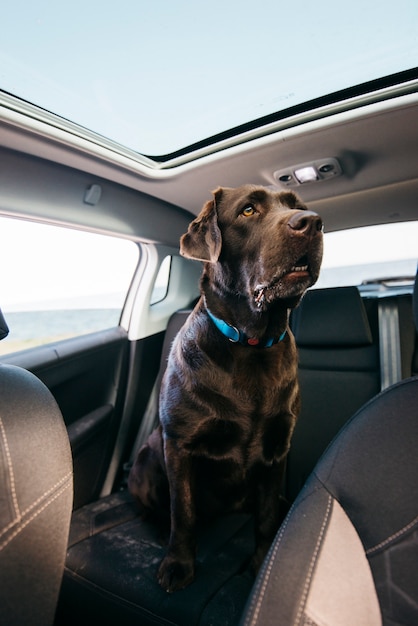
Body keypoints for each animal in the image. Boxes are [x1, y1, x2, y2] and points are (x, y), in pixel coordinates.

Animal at [129, 184, 324, 588]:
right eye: (248, 210)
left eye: (295, 205)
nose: (312, 222)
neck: (251, 345)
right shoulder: (180, 447)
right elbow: (183, 512)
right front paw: (178, 564)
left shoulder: (277, 450)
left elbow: (266, 517)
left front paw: (261, 563)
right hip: (148, 458)